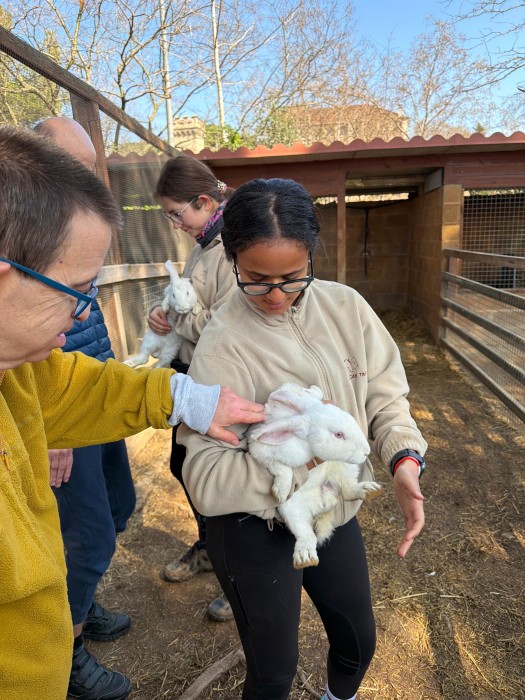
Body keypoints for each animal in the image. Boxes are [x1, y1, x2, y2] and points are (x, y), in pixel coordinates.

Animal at [248, 383, 381, 568]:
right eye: (338, 435)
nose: (366, 451)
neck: (308, 444)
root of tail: (323, 502)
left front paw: (314, 389)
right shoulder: (262, 454)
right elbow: (283, 469)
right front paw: (281, 492)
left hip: (343, 467)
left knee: (349, 490)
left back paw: (369, 490)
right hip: (292, 511)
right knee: (306, 534)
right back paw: (305, 558)